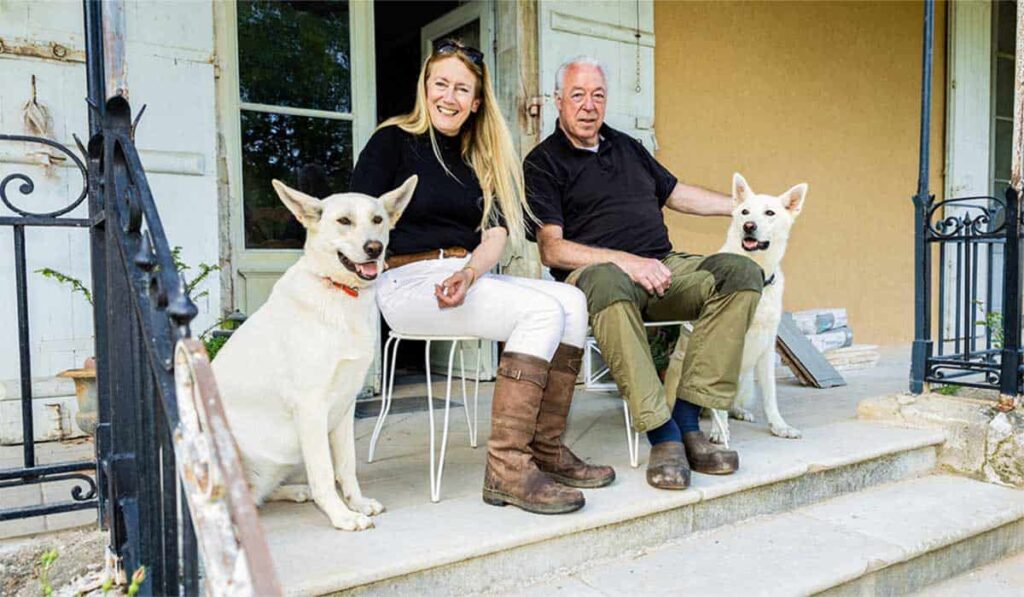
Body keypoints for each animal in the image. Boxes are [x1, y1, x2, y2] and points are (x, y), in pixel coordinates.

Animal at [211, 175, 415, 528]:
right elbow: (323, 472)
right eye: (344, 221)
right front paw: (342, 516)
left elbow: (346, 466)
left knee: (259, 495)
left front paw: (357, 504)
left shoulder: (345, 406)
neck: (341, 293)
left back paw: (294, 491)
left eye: (377, 219)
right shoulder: (311, 406)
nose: (374, 249)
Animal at [708, 171, 802, 446]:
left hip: (746, 381)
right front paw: (720, 431)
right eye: (744, 212)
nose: (748, 226)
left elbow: (771, 394)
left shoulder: (767, 344)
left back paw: (739, 412)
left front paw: (779, 426)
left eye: (769, 213)